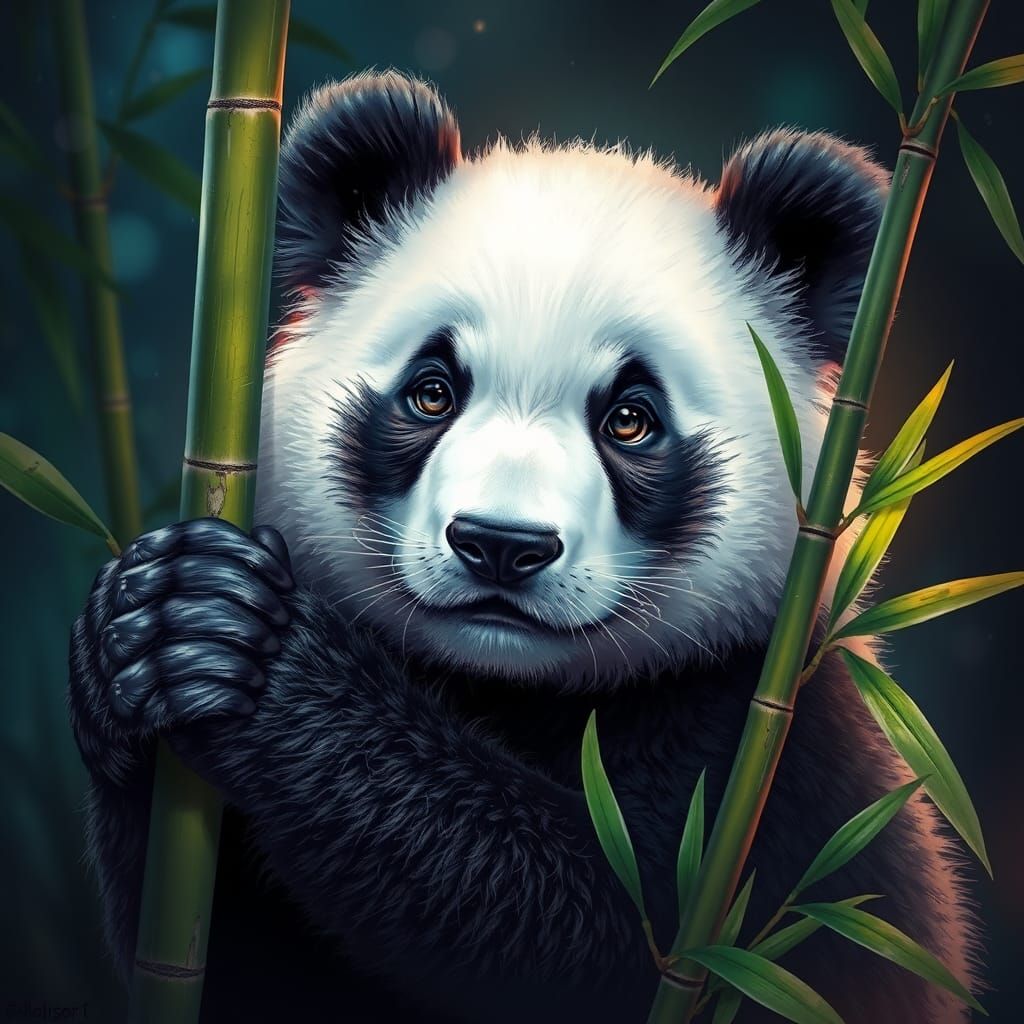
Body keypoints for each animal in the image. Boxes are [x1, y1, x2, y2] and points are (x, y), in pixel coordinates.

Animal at [69, 72, 978, 1023]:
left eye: (631, 420)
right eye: (432, 392)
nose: (501, 545)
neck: (507, 684)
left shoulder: (762, 753)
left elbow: (624, 937)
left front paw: (252, 644)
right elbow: (232, 969)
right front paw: (149, 620)